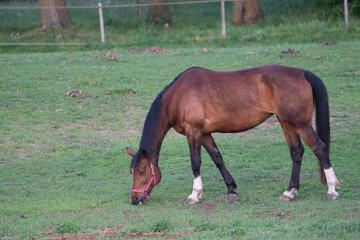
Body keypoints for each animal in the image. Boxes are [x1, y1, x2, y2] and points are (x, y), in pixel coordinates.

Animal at [127, 64, 340, 205]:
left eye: (142, 171)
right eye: (132, 171)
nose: (135, 198)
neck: (178, 96)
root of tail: (302, 73)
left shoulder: (193, 131)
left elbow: (195, 163)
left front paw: (194, 195)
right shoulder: (205, 133)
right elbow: (218, 159)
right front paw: (231, 189)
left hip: (300, 124)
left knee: (320, 148)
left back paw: (331, 189)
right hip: (286, 123)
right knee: (296, 152)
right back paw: (290, 191)